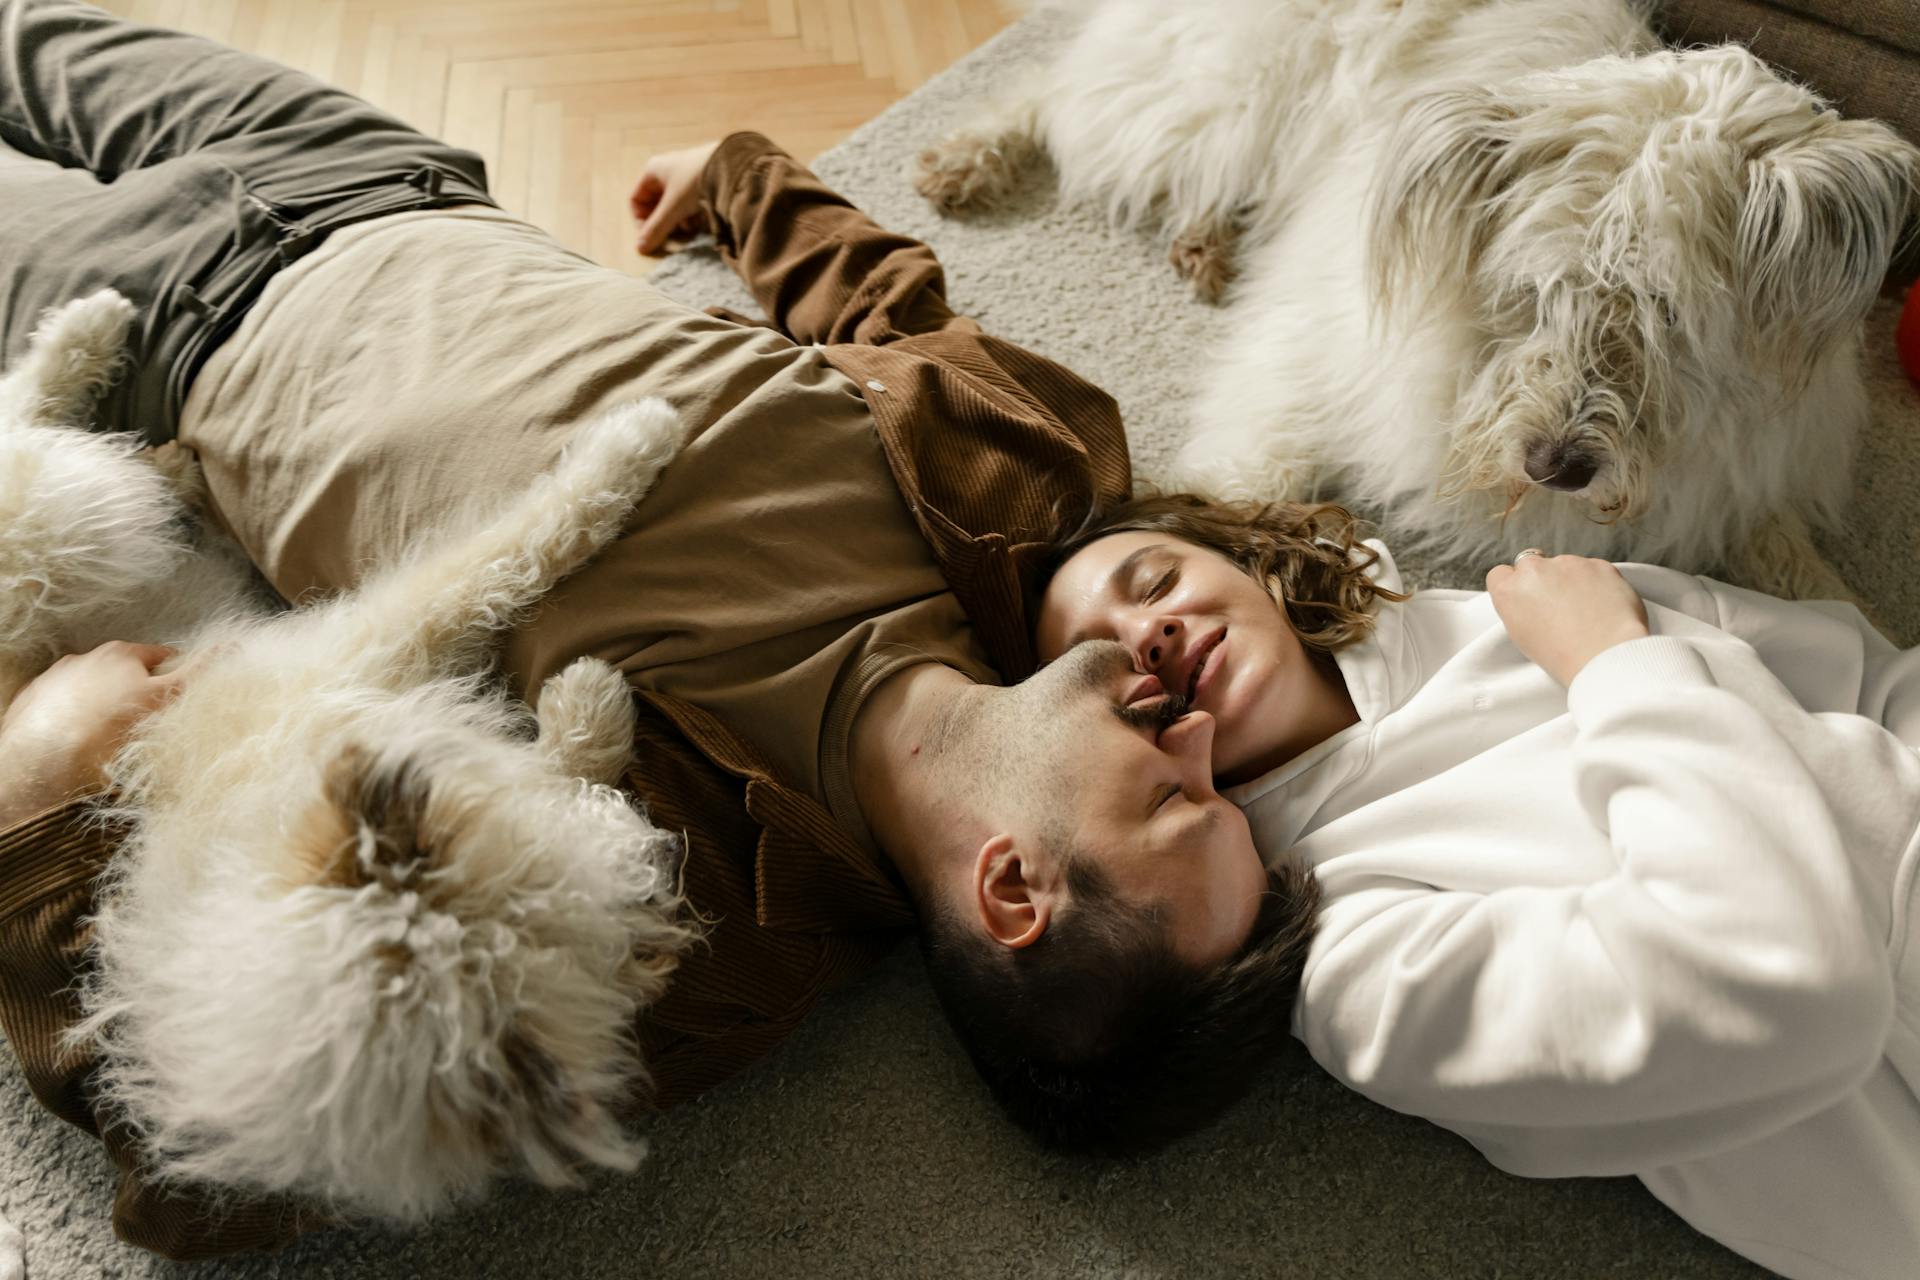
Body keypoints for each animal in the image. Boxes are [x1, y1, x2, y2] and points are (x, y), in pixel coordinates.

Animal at [0, 289, 706, 1220]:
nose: (662, 878)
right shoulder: (378, 639)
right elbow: (516, 553)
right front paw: (635, 442)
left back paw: (142, 412)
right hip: (56, 526)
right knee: (22, 418)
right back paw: (101, 343)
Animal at [913, 0, 1920, 602]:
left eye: (1665, 312)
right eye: (1531, 292)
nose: (1555, 465)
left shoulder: (1740, 489)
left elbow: (1809, 579)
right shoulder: (1304, 360)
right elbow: (1250, 479)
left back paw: (1205, 243)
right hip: (1216, 104)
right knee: (1058, 91)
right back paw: (970, 156)